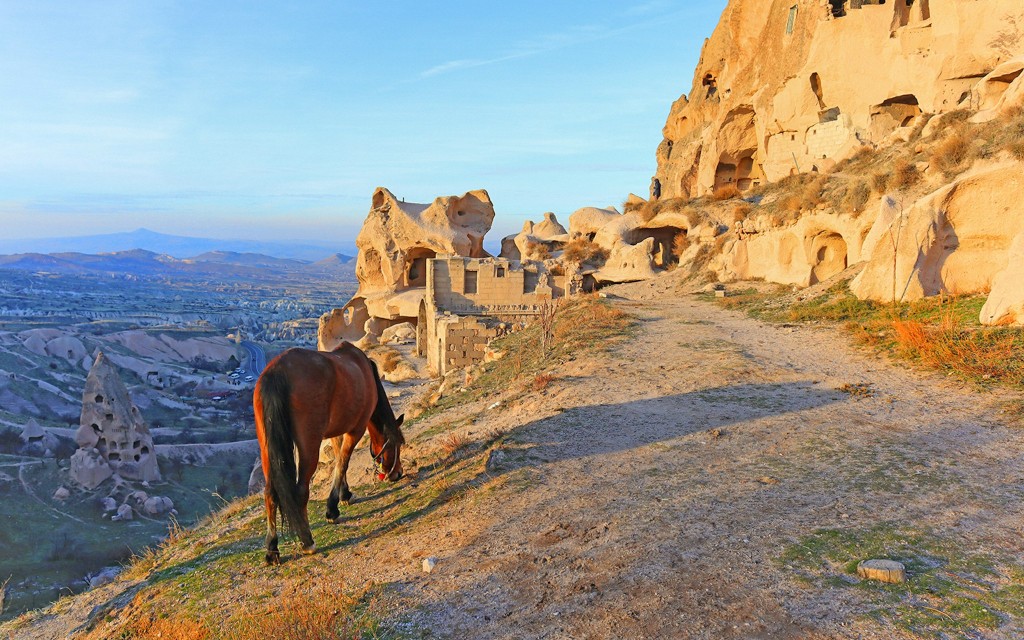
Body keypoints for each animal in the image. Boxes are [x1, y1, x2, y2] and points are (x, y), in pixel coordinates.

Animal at [254, 343, 405, 565]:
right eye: (399, 444)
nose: (398, 473)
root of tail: (277, 371)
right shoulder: (356, 429)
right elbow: (343, 462)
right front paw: (333, 508)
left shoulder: (337, 431)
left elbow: (338, 459)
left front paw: (344, 493)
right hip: (309, 444)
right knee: (300, 490)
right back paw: (307, 541)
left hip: (267, 448)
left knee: (269, 493)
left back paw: (272, 548)